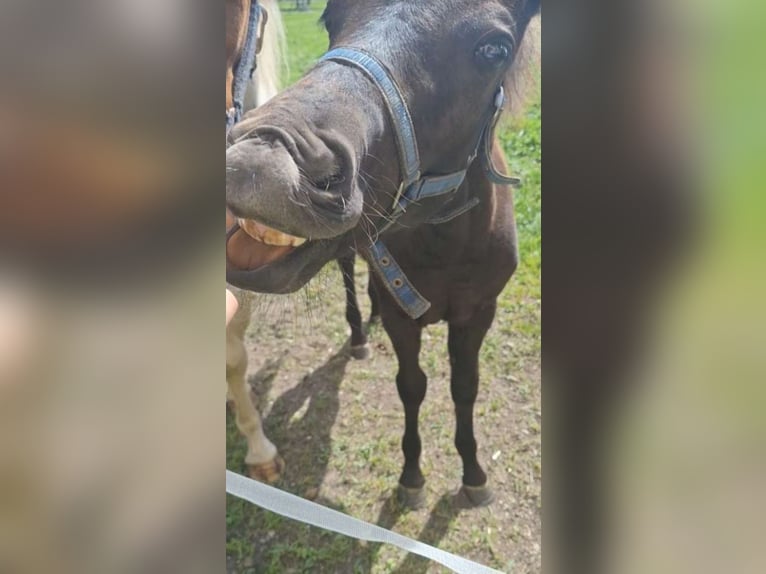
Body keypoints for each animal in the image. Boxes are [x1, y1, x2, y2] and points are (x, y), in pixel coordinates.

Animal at [226, 0, 540, 508]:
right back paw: (359, 333)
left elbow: (464, 388)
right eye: (330, 18)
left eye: (494, 48)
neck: (444, 243)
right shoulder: (401, 318)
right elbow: (411, 387)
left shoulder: (479, 313)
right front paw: (412, 477)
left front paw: (473, 475)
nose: (262, 164)